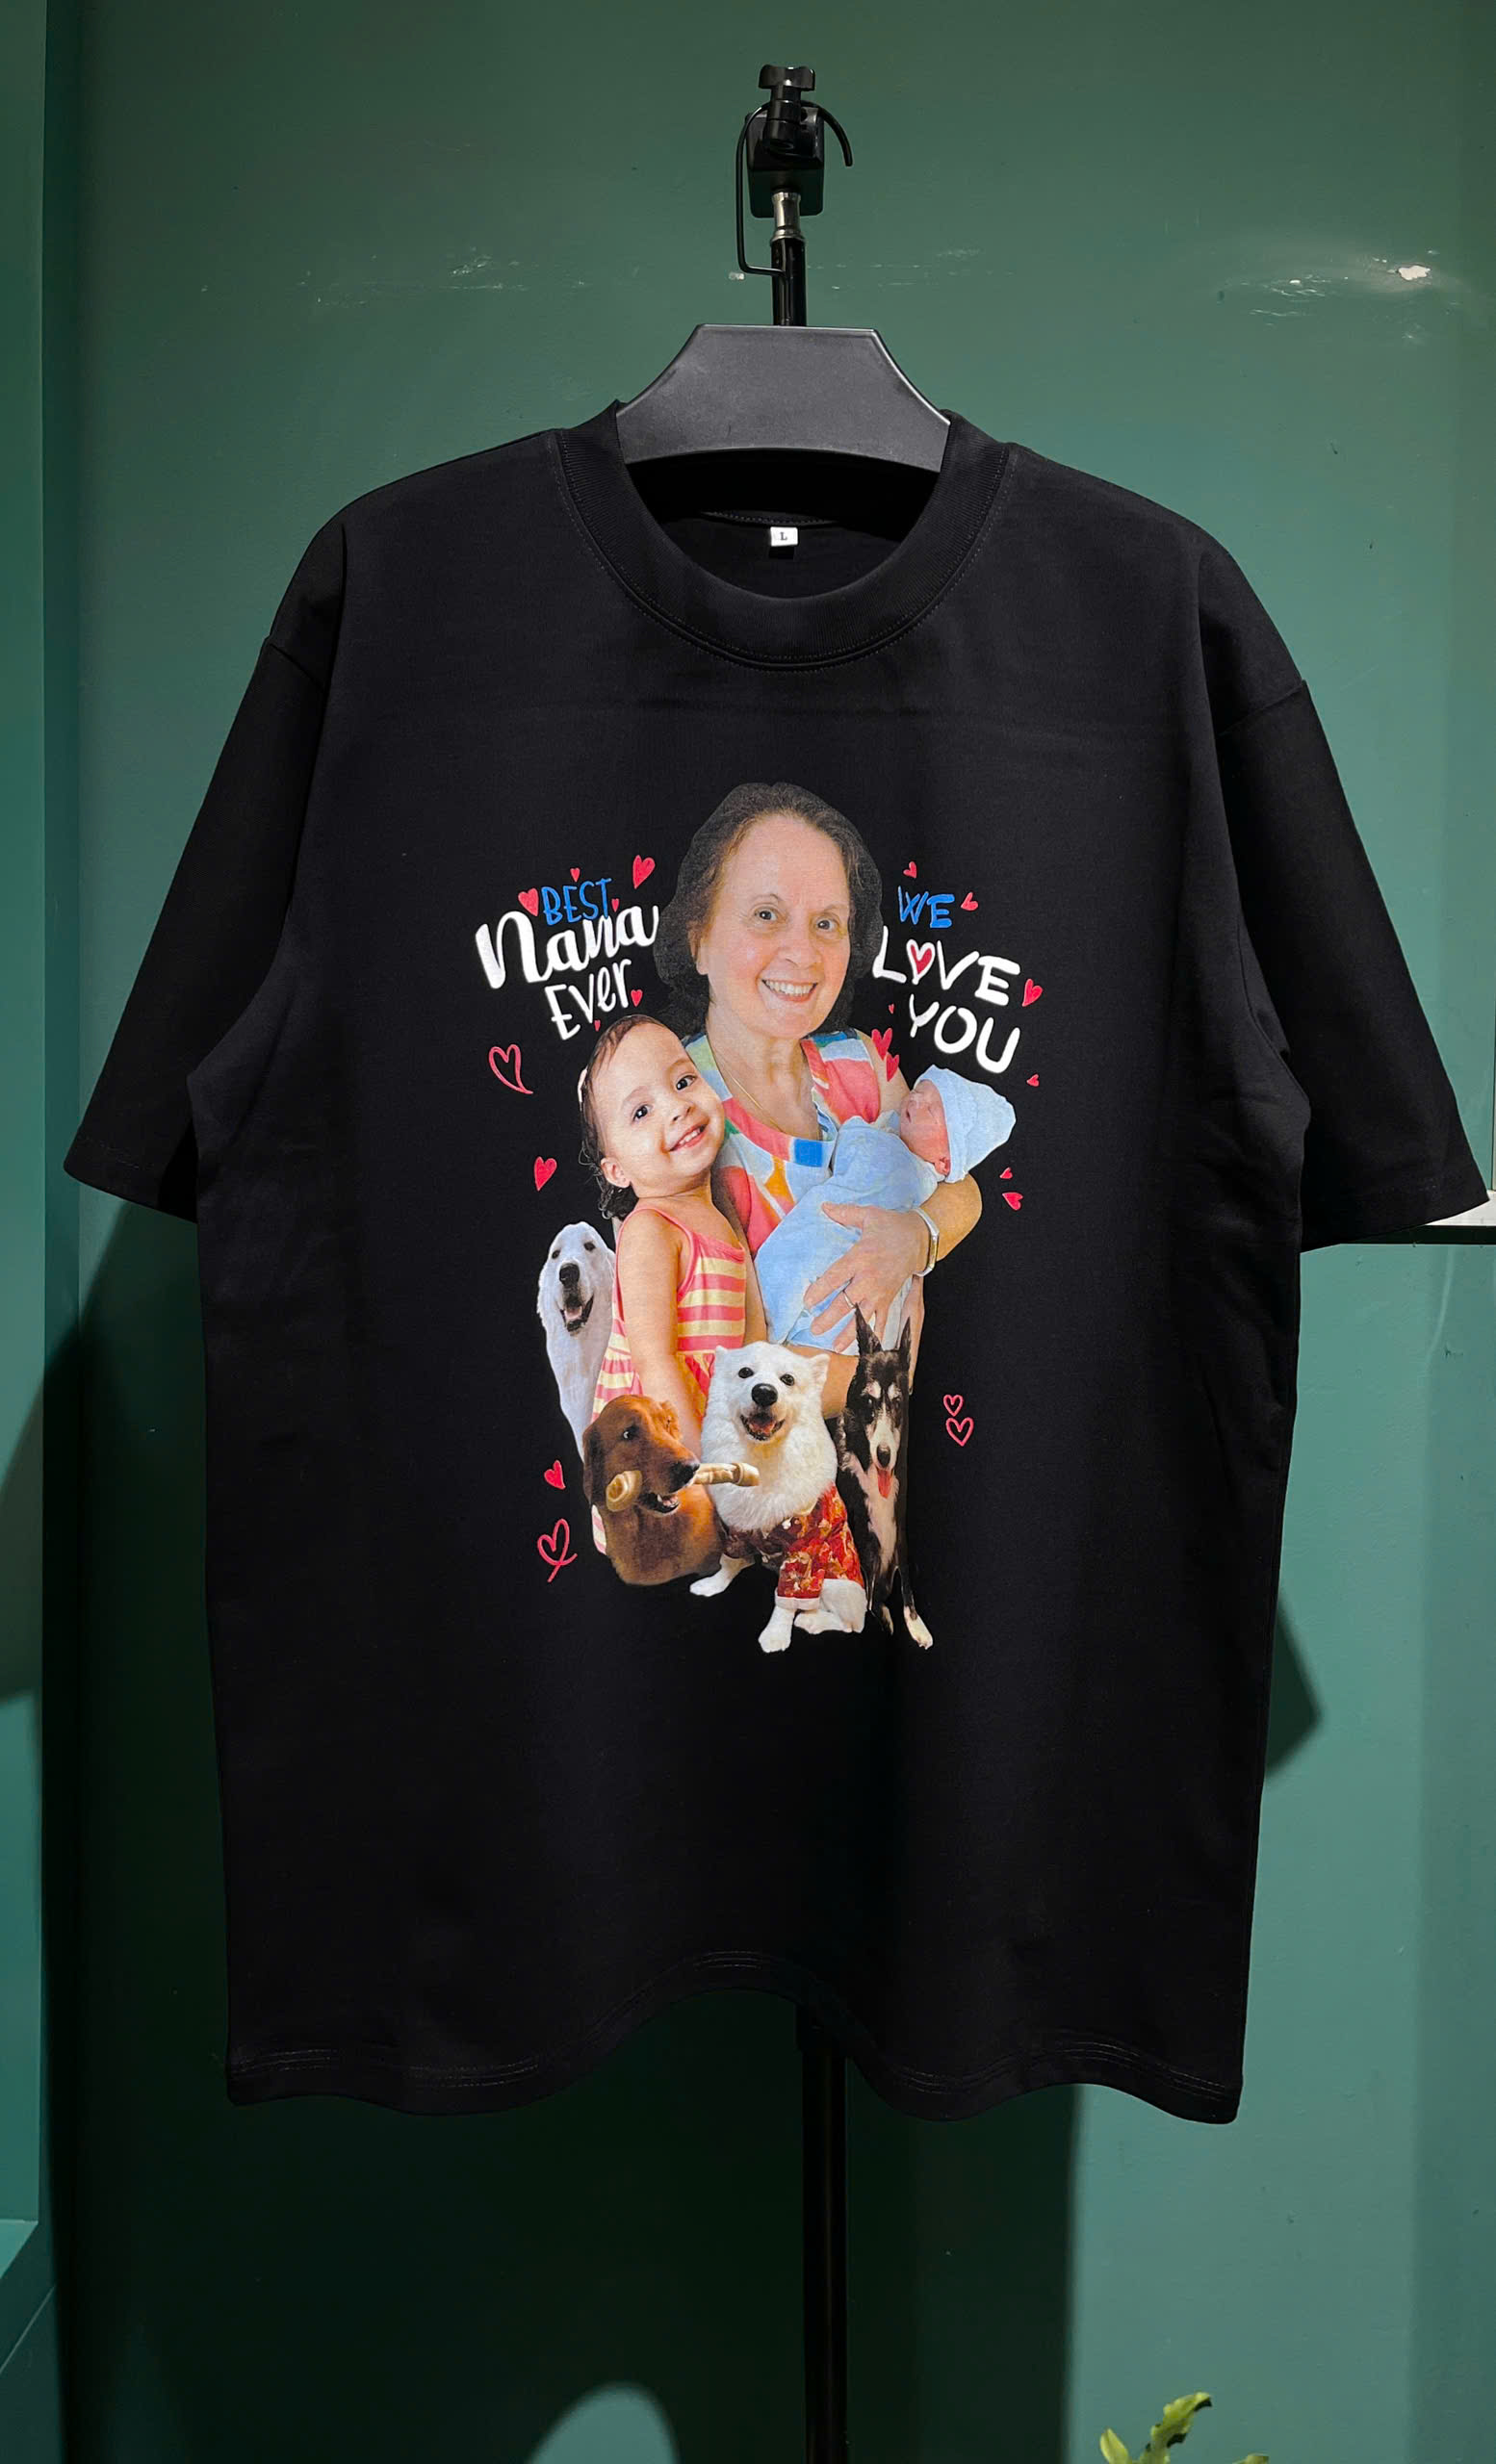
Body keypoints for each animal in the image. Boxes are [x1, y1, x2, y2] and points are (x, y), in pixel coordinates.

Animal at [691, 1343, 867, 1654]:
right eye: (745, 1372)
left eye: (788, 1380)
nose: (764, 1392)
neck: (761, 1458)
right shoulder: (738, 1530)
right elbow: (730, 1562)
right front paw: (714, 1585)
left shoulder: (803, 1551)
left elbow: (785, 1602)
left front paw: (776, 1635)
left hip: (835, 1582)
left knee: (850, 1624)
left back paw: (812, 1621)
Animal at [832, 1310, 931, 1648]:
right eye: (869, 1403)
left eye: (898, 1403)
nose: (885, 1455)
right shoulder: (864, 1537)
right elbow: (869, 1597)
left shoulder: (899, 1526)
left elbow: (907, 1586)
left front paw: (915, 1624)